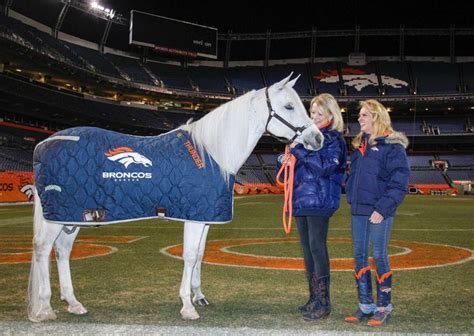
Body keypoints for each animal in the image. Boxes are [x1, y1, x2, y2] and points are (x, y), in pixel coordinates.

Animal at [27, 75, 324, 322]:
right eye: (288, 106)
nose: (318, 138)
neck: (212, 154)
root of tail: (44, 143)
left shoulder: (204, 218)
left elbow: (201, 254)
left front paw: (199, 296)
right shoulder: (192, 218)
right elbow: (190, 256)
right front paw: (187, 306)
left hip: (74, 214)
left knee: (62, 251)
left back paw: (74, 303)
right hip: (59, 216)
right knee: (42, 249)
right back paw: (45, 308)